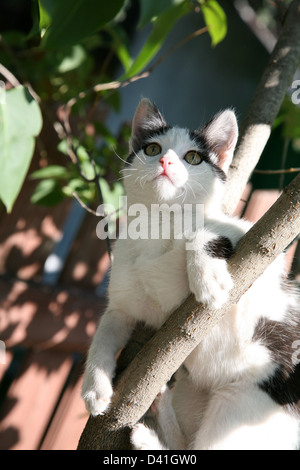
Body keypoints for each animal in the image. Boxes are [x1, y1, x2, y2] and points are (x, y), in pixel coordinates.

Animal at [82, 97, 300, 450]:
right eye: (153, 148)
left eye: (193, 157)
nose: (167, 161)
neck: (159, 226)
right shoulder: (123, 305)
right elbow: (104, 331)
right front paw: (94, 388)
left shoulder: (263, 250)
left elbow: (204, 233)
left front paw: (208, 281)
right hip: (192, 393)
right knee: (188, 442)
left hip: (244, 403)